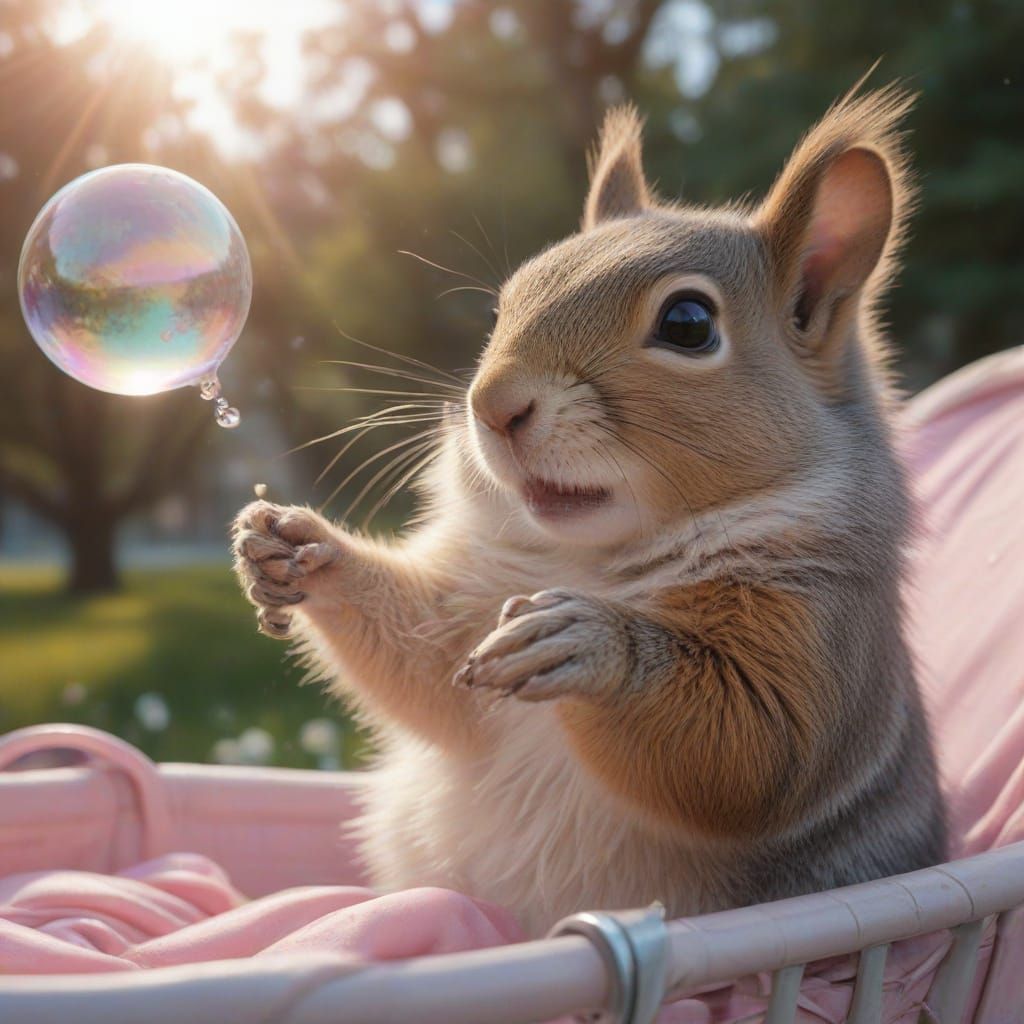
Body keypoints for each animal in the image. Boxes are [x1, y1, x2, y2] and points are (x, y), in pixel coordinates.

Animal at [233, 85, 947, 938]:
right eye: (504, 305)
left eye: (688, 324)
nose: (492, 404)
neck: (591, 557)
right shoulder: (470, 626)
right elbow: (429, 671)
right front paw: (297, 550)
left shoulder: (822, 627)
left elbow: (756, 746)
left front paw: (591, 643)